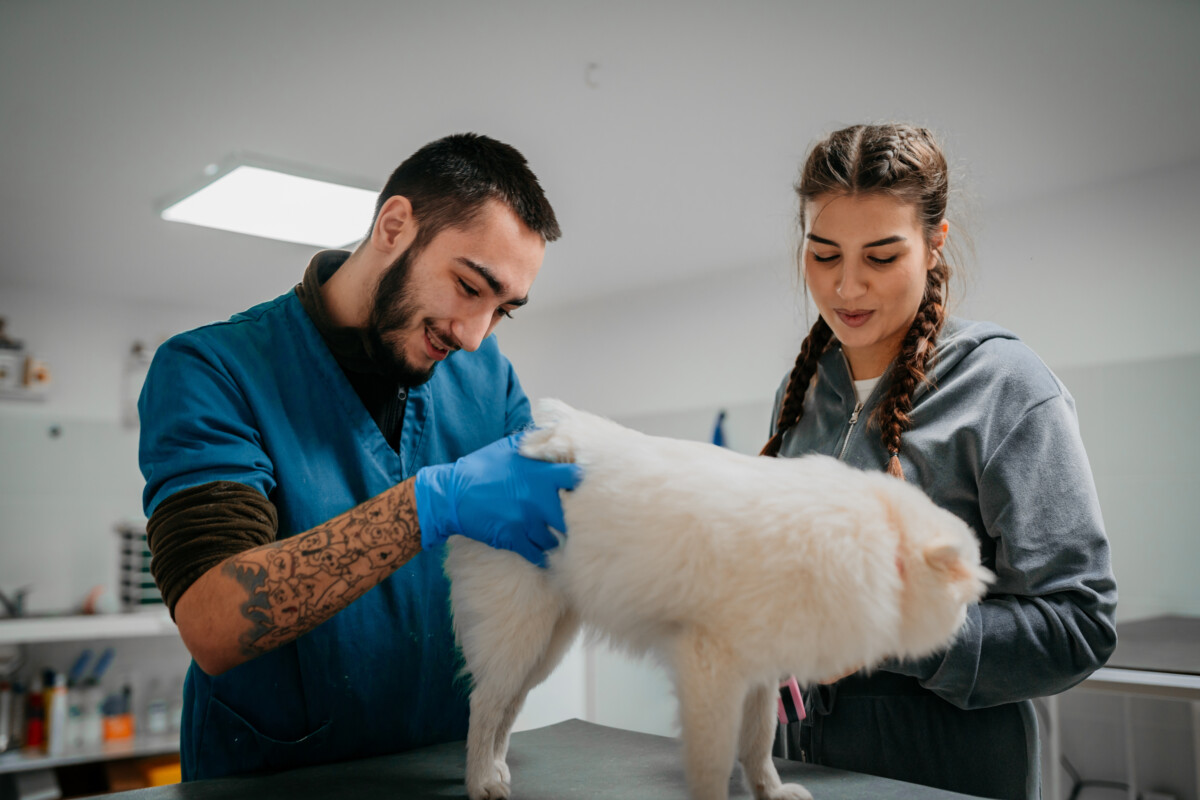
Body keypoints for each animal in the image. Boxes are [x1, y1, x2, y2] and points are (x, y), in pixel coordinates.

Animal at [446, 400, 988, 800]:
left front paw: (770, 791)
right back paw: (481, 781)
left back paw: (496, 769)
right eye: (962, 599)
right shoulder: (709, 669)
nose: (973, 625)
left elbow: (758, 744)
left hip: (545, 644)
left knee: (505, 706)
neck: (866, 542)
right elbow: (713, 758)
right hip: (520, 631)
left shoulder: (762, 671)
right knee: (483, 704)